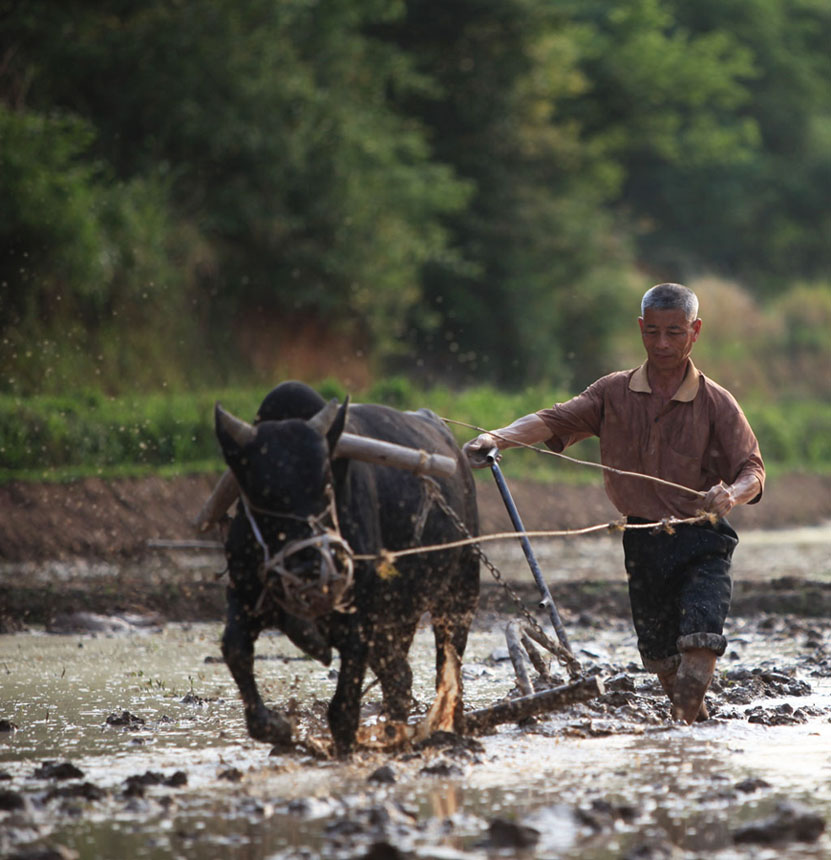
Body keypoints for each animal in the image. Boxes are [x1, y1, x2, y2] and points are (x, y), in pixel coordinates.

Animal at [213, 382, 480, 752]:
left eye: (326, 482)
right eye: (260, 490)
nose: (311, 569)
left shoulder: (360, 618)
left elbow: (342, 711)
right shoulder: (244, 594)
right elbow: (235, 649)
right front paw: (276, 726)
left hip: (459, 593)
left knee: (447, 666)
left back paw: (447, 723)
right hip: (401, 614)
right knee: (399, 679)